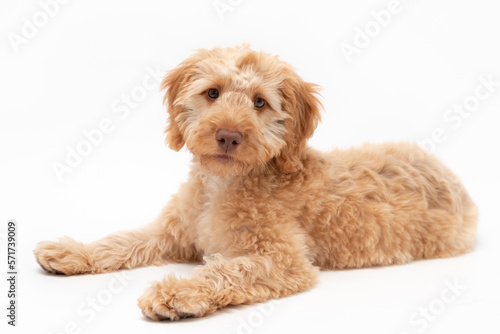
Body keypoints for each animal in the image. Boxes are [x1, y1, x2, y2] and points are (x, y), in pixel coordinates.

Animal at [33, 44, 478, 320]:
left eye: (260, 102)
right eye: (212, 93)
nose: (228, 136)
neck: (224, 183)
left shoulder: (282, 259)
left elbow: (227, 271)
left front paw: (177, 294)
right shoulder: (172, 232)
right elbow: (123, 240)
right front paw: (74, 251)